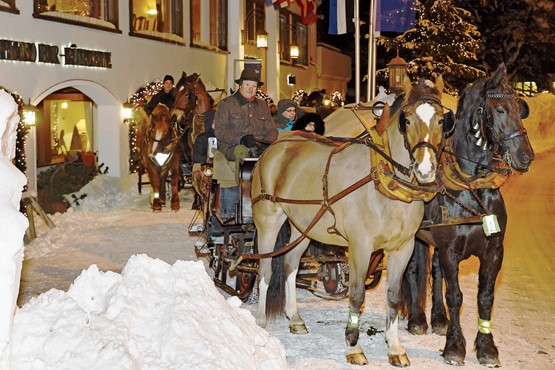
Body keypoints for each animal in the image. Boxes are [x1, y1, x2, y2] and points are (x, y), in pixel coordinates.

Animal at [254, 76, 454, 366]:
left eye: (441, 120)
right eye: (406, 120)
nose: (425, 169)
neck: (383, 182)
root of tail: (276, 144)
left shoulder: (402, 249)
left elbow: (393, 297)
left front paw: (395, 347)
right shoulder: (360, 247)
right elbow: (357, 295)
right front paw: (353, 346)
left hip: (302, 226)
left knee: (291, 263)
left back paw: (295, 318)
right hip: (268, 221)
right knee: (265, 269)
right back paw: (259, 321)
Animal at [402, 64, 536, 368]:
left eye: (519, 106)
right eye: (499, 109)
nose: (526, 156)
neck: (473, 189)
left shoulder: (494, 251)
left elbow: (485, 298)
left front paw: (487, 347)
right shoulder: (450, 249)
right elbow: (455, 295)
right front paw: (455, 346)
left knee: (435, 270)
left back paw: (439, 319)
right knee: (415, 270)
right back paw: (418, 320)